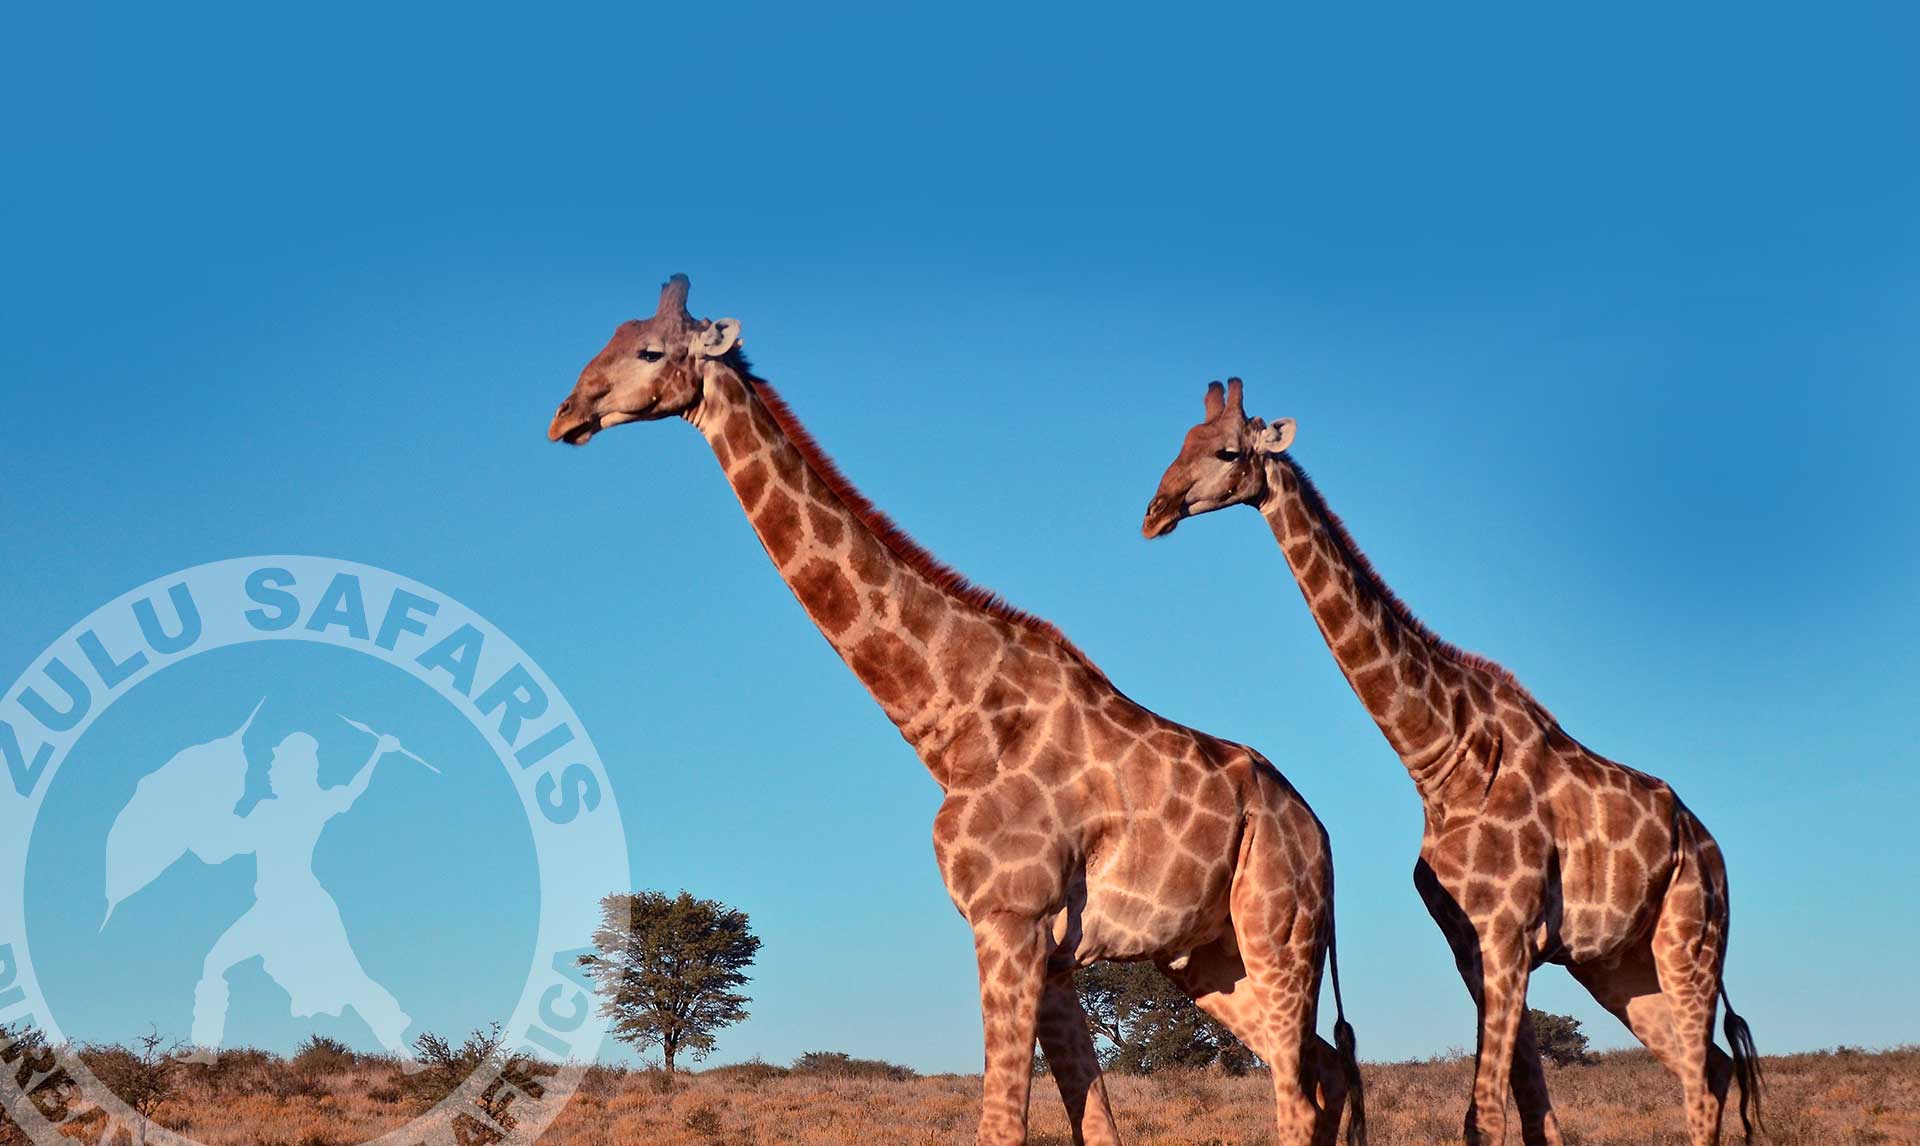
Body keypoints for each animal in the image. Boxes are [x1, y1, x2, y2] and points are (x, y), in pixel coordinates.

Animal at [546, 278, 1365, 1146]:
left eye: (650, 351)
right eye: (610, 338)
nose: (565, 415)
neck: (955, 726)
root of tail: (1320, 831)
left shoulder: (1009, 920)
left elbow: (1003, 1125)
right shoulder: (1050, 949)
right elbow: (1095, 1124)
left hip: (1278, 931)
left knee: (1298, 1091)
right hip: (1208, 958)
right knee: (1325, 1070)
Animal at [1139, 378, 1762, 1146]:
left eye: (1227, 450)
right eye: (1181, 443)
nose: (1155, 512)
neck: (1441, 756)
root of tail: (1710, 847)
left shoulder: (1508, 934)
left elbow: (1485, 1115)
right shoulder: (1473, 945)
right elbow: (1532, 1112)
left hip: (1690, 938)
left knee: (1703, 1081)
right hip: (1620, 967)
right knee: (1711, 1066)